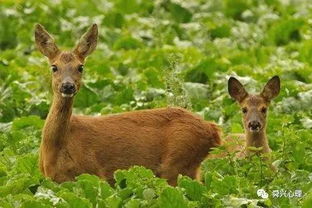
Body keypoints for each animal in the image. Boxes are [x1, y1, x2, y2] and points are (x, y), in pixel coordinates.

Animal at [34, 23, 222, 186]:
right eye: (54, 67)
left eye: (80, 67)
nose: (68, 86)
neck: (57, 148)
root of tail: (214, 130)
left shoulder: (94, 174)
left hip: (178, 164)